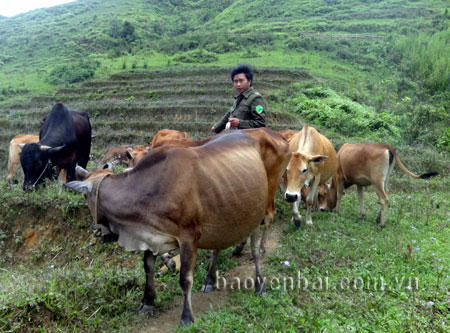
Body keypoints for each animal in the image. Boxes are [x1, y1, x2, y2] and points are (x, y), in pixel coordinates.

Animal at [66, 131, 270, 326]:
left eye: (84, 196)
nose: (97, 230)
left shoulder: (189, 237)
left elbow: (185, 278)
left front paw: (187, 317)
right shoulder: (150, 235)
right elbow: (148, 267)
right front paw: (147, 300)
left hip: (255, 216)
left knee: (255, 250)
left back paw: (259, 285)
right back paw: (210, 280)